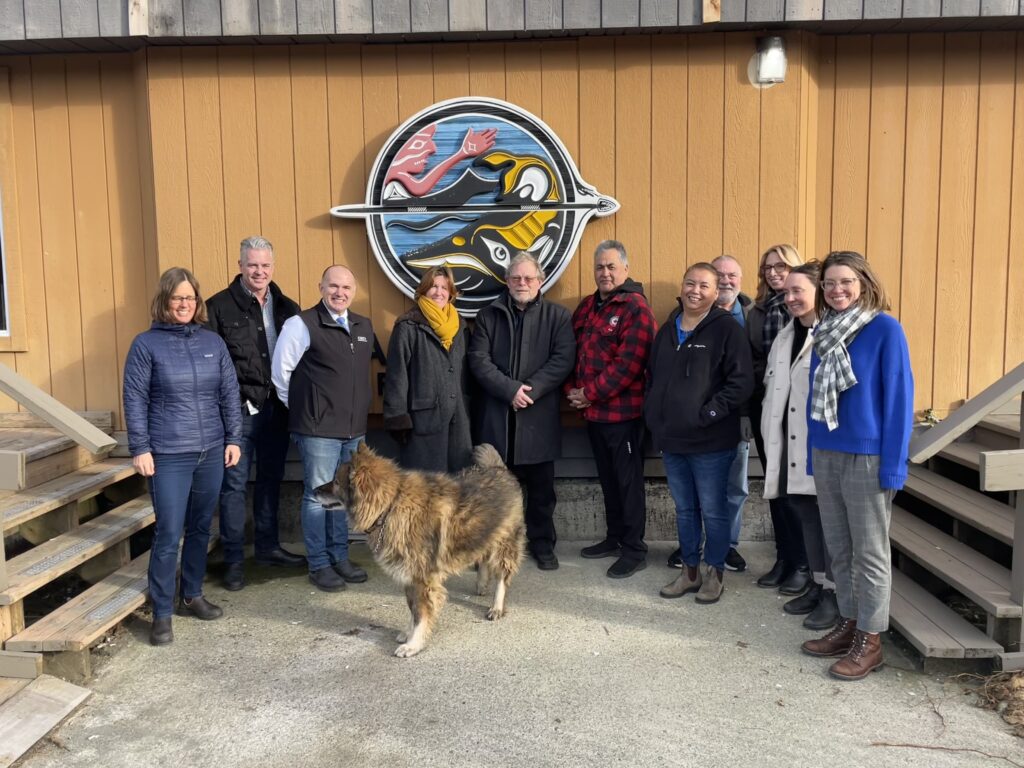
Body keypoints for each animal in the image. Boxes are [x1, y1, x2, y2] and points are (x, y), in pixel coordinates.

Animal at [313, 442, 524, 659]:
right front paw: (409, 633)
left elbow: (421, 615)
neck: (390, 505)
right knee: (483, 558)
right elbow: (413, 611)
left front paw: (414, 644)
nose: (313, 490)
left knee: (502, 576)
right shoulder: (409, 577)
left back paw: (496, 606)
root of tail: (498, 468)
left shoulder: (422, 580)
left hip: (504, 544)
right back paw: (481, 584)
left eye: (336, 482)